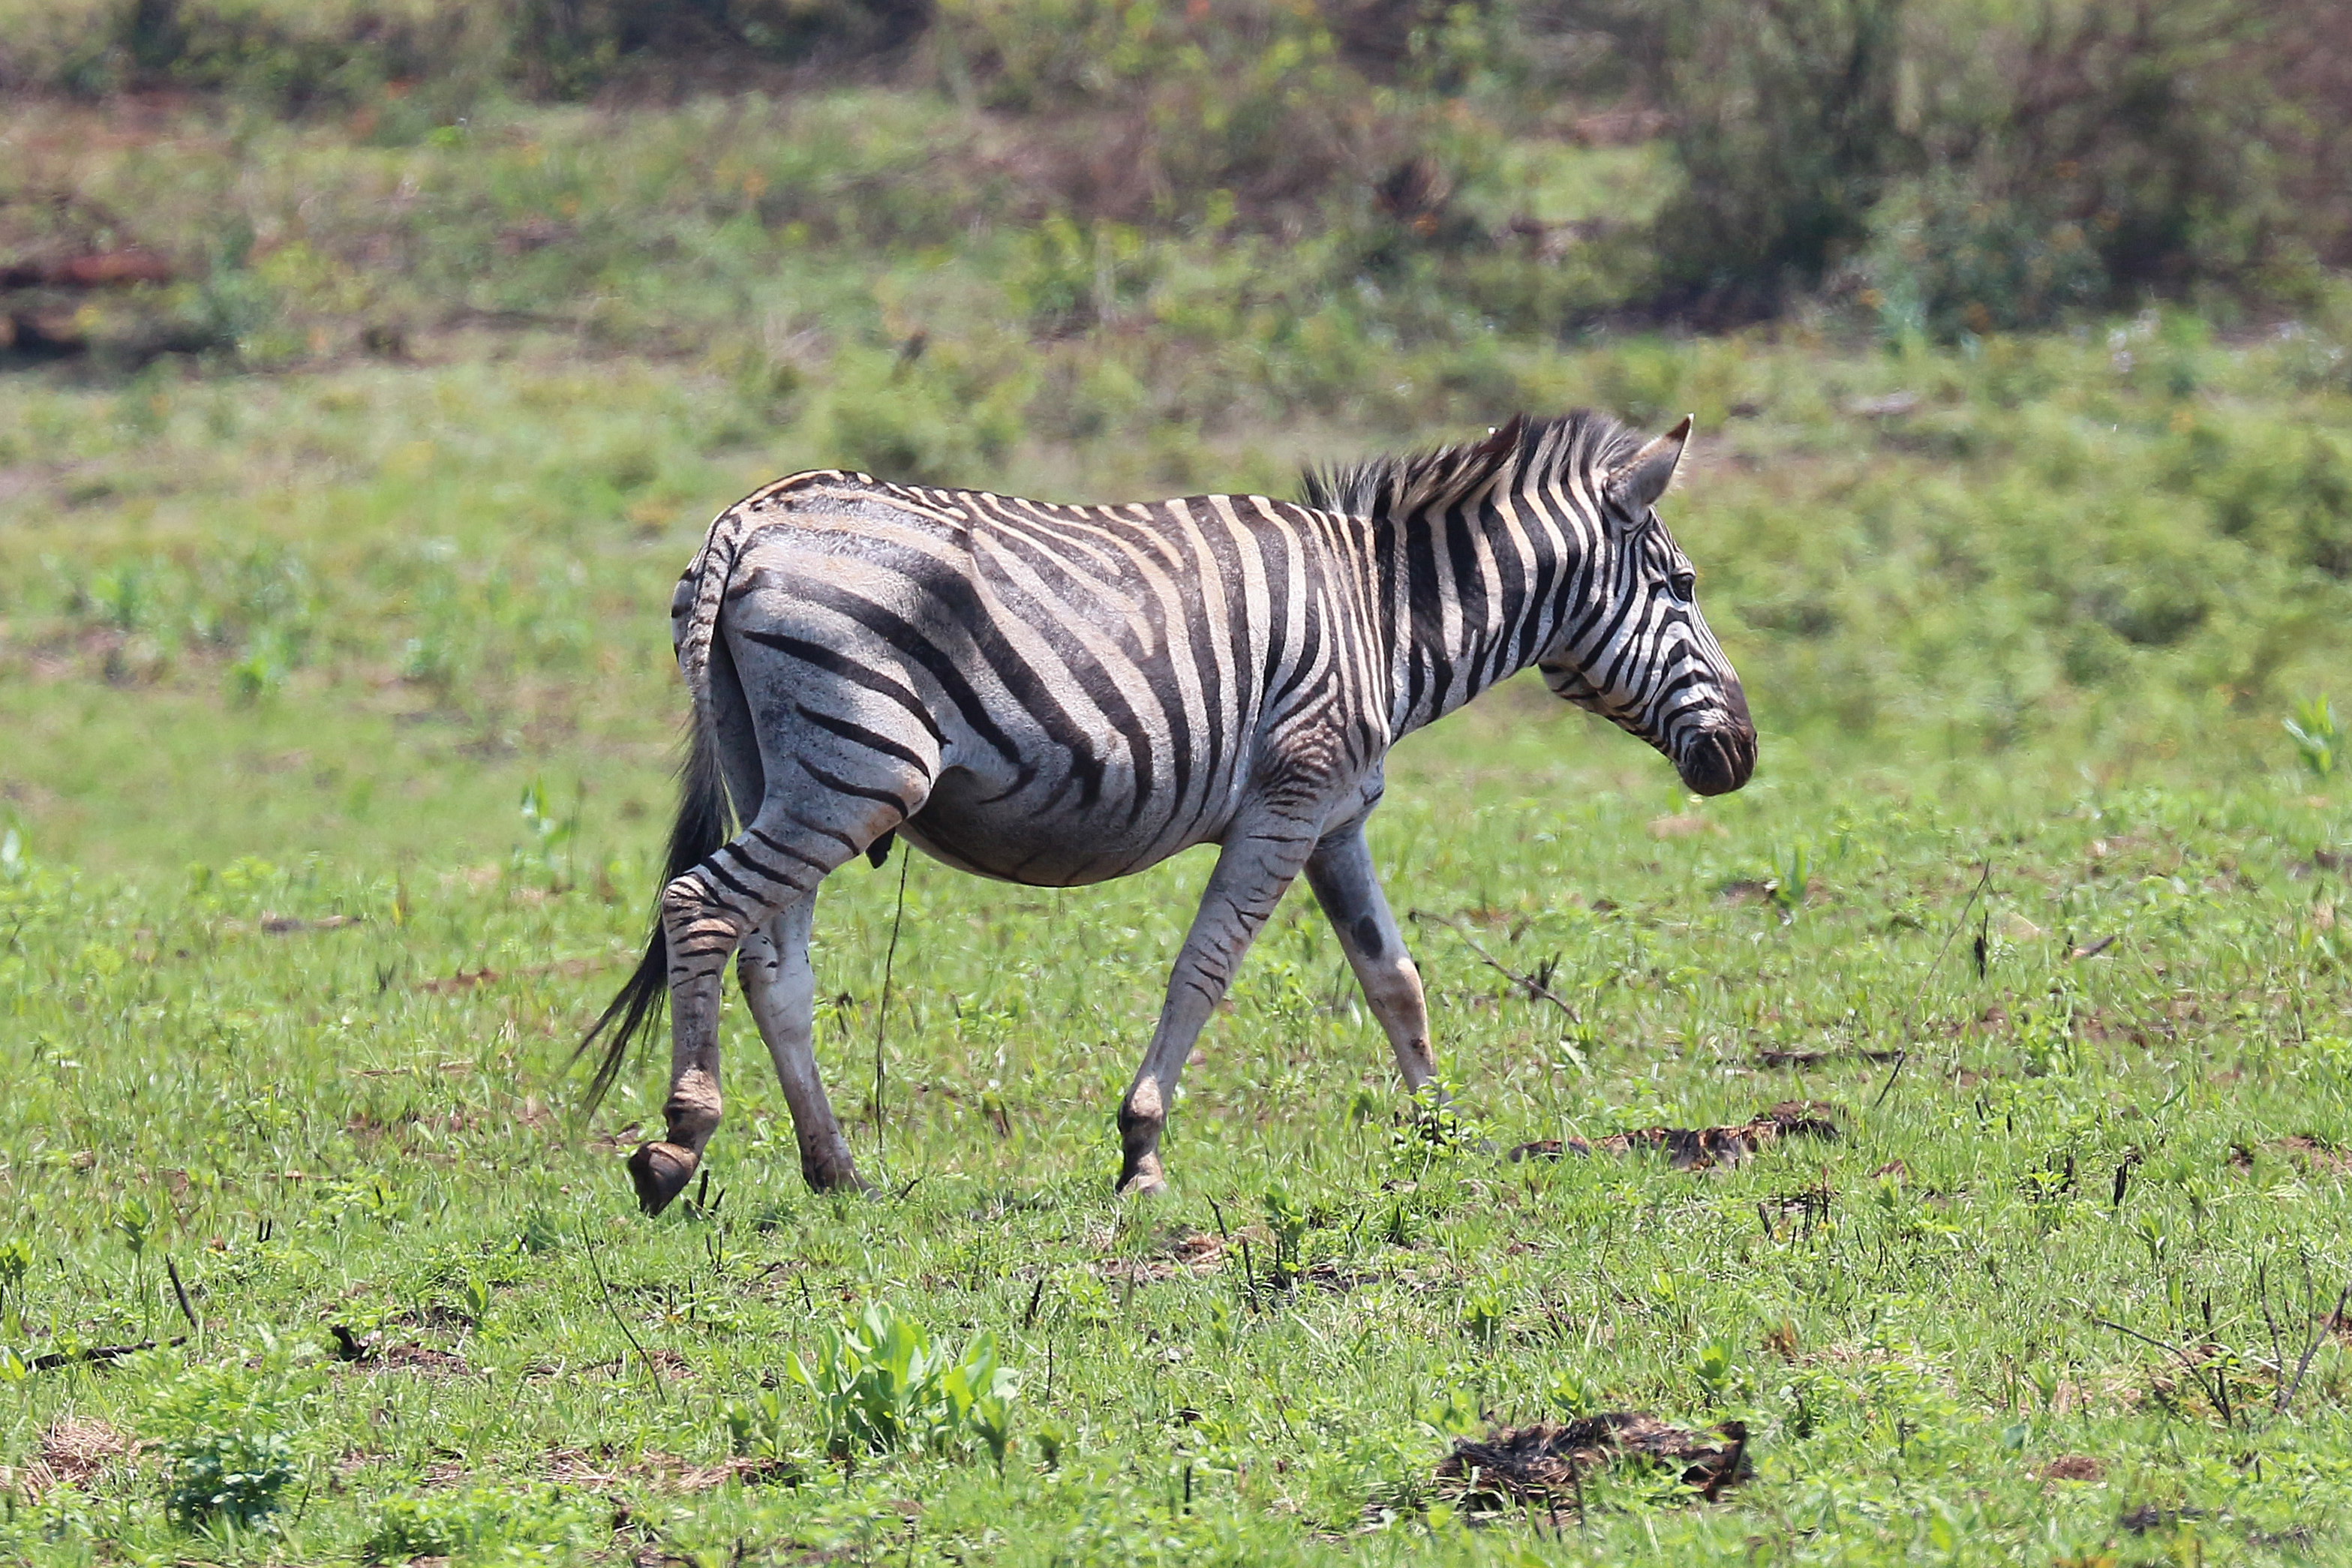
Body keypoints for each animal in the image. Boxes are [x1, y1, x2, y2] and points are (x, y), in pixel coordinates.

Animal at [583, 409, 1755, 1213]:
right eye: (1686, 586)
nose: (1741, 756)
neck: (1384, 616)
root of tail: (751, 518)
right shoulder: (1289, 799)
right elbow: (1205, 968)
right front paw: (1141, 1149)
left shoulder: (1336, 817)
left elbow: (1395, 979)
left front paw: (1442, 1132)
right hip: (859, 767)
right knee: (699, 905)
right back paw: (679, 1141)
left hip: (781, 768)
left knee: (770, 960)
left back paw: (837, 1170)